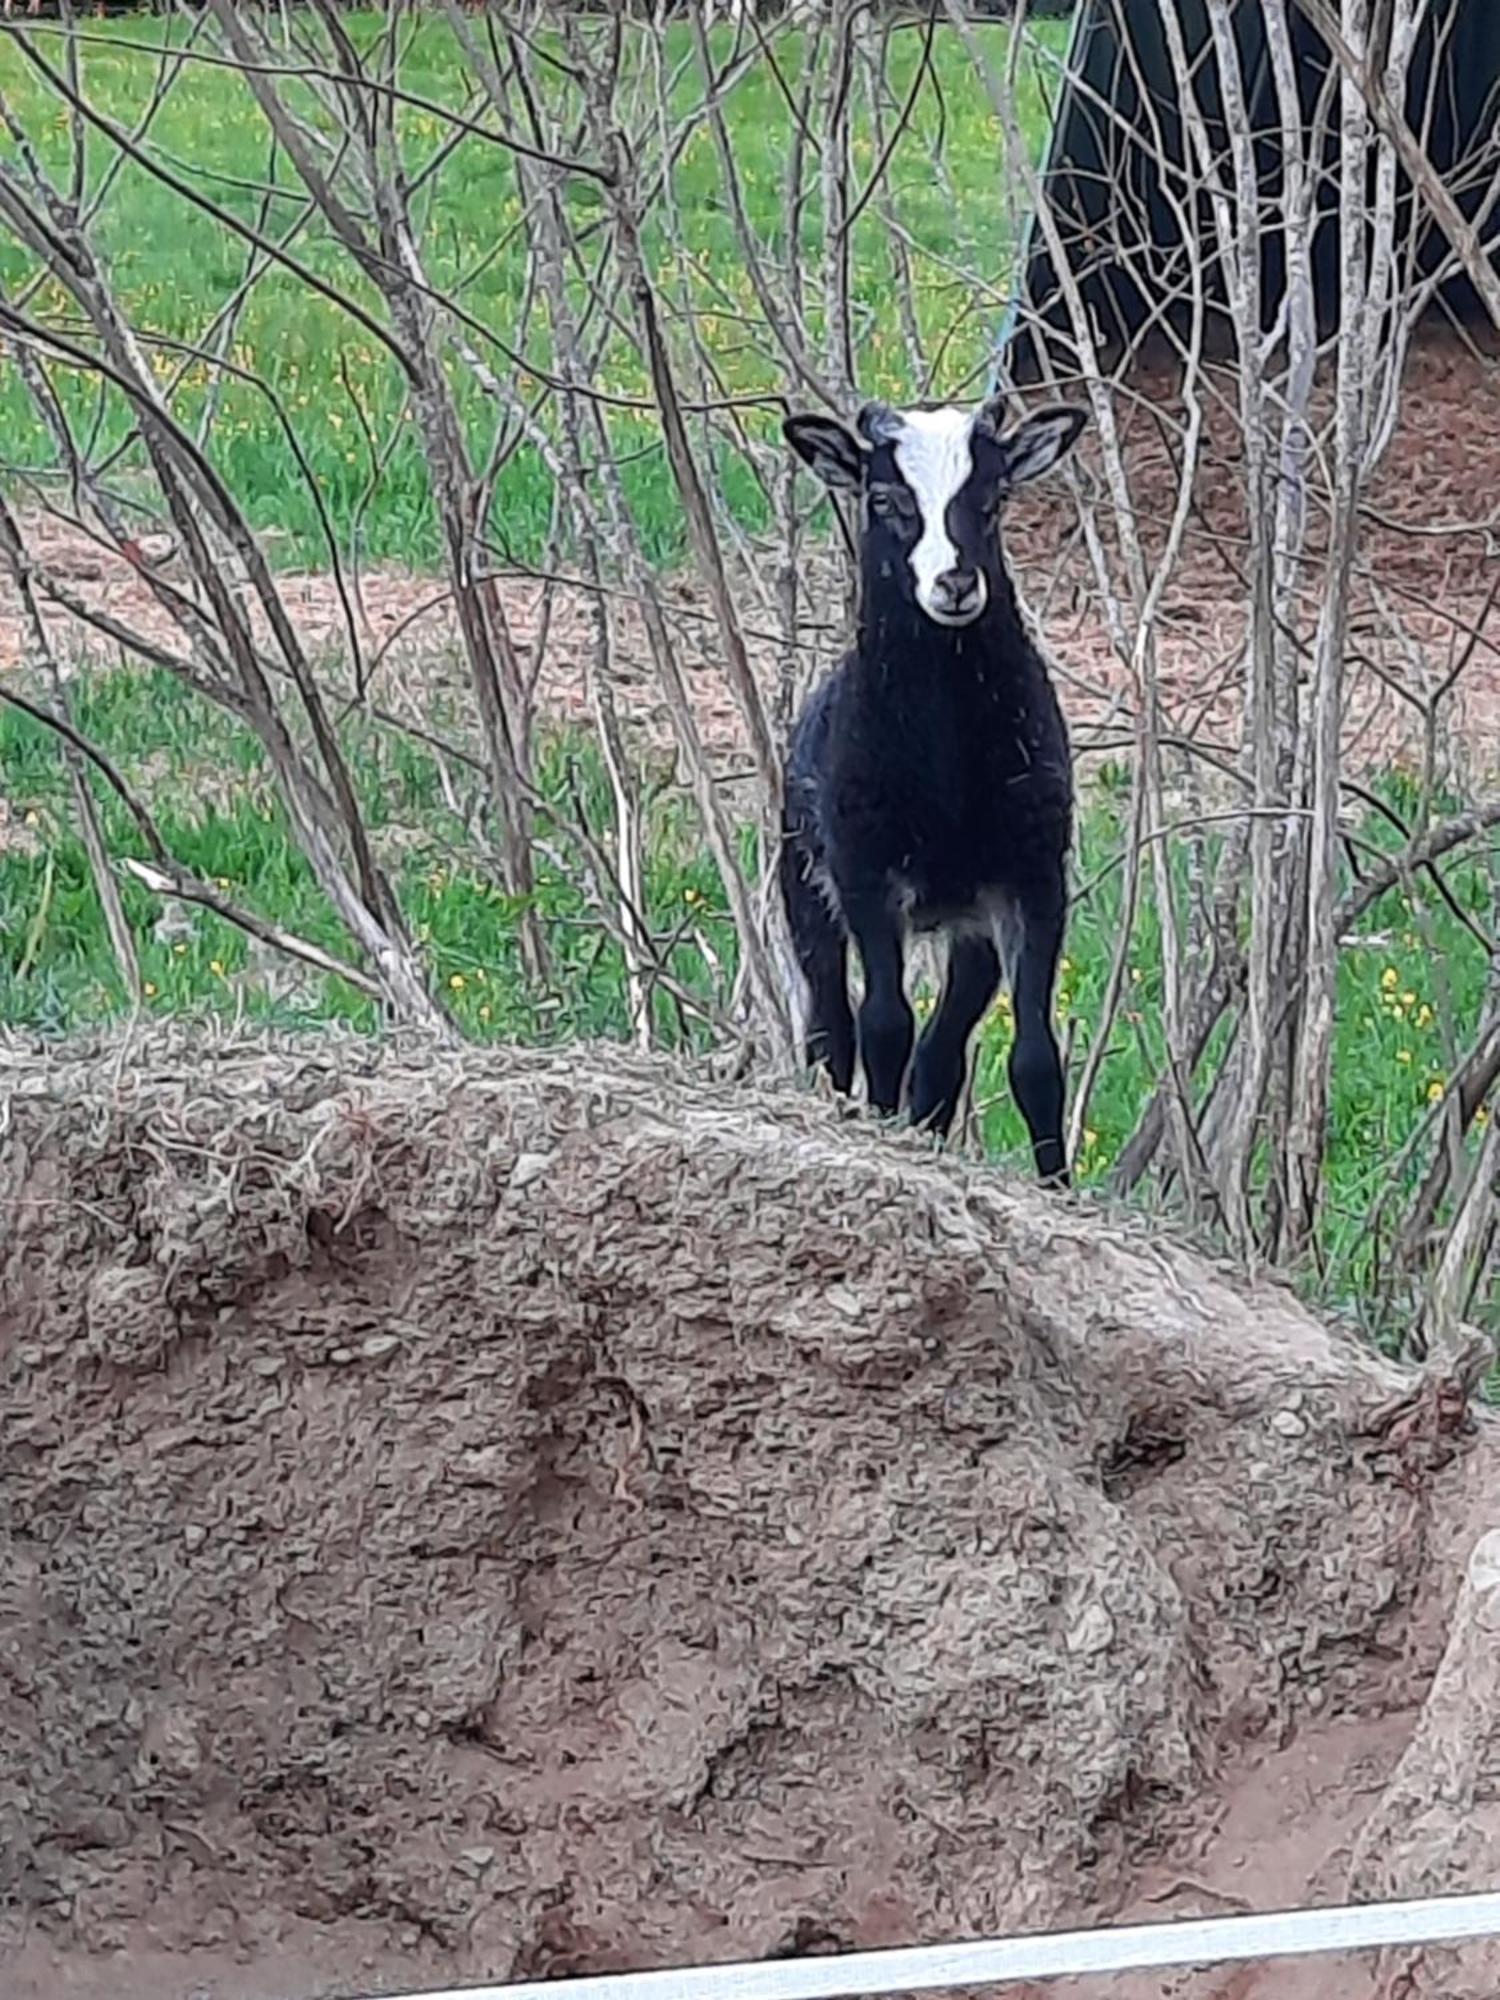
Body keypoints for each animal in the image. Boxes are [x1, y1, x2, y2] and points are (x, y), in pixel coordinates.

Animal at [780, 388, 1088, 1176]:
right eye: (885, 499)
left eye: (992, 499)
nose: (955, 584)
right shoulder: (864, 870)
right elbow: (882, 1023)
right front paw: (879, 1133)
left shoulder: (1032, 878)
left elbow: (1036, 1061)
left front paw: (1056, 1186)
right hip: (804, 886)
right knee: (831, 1025)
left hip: (968, 928)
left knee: (941, 1051)